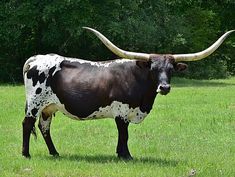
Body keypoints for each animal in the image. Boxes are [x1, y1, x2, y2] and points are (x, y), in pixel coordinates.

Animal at [21, 27, 233, 159]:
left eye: (171, 69)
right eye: (153, 69)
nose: (164, 87)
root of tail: (36, 58)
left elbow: (123, 135)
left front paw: (121, 154)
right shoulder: (121, 112)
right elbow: (124, 135)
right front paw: (126, 155)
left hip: (49, 107)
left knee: (44, 127)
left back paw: (54, 153)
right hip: (35, 103)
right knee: (27, 124)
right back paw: (26, 154)